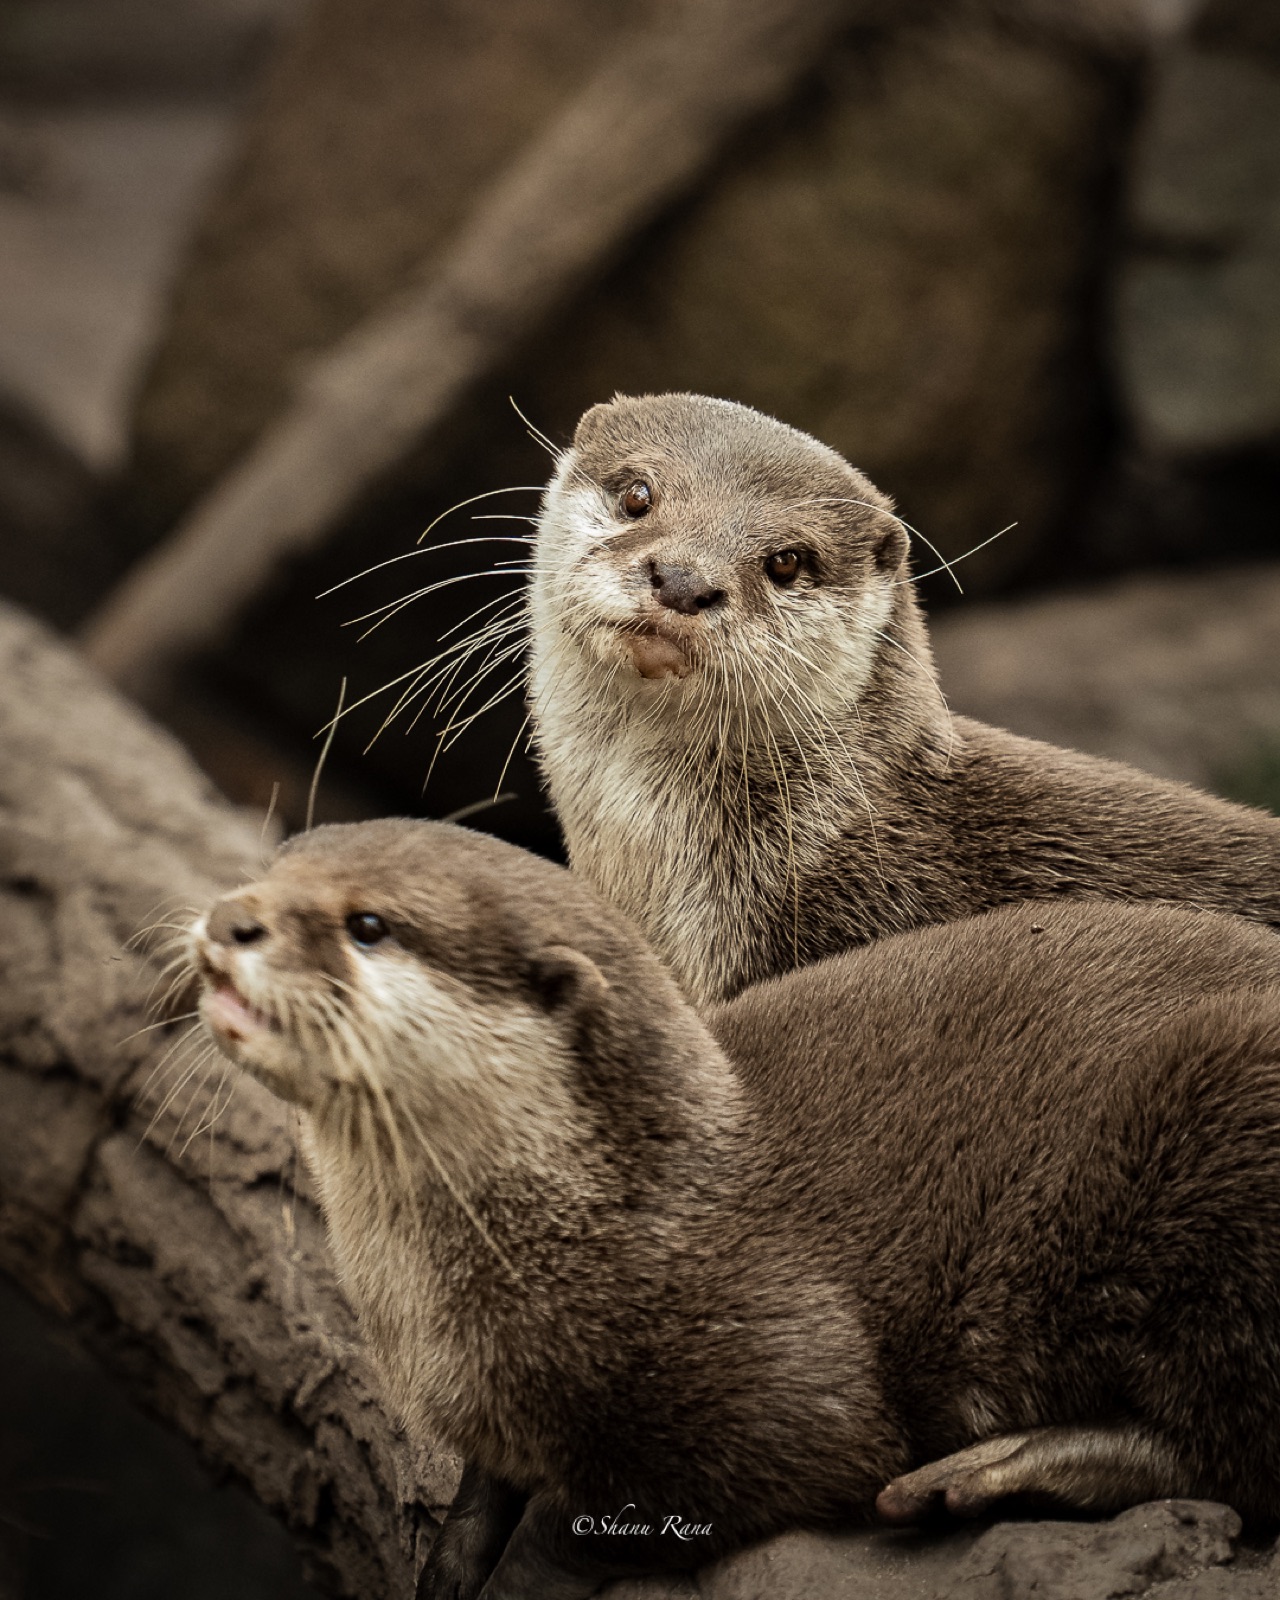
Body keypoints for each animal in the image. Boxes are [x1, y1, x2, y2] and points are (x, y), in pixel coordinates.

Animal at [191, 819, 1280, 1600]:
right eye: (273, 864)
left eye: (368, 926)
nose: (227, 917)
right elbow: (483, 1488)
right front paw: (455, 1562)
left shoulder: (776, 1367)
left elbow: (634, 1508)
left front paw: (521, 1577)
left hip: (1221, 1124)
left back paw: (998, 1468)